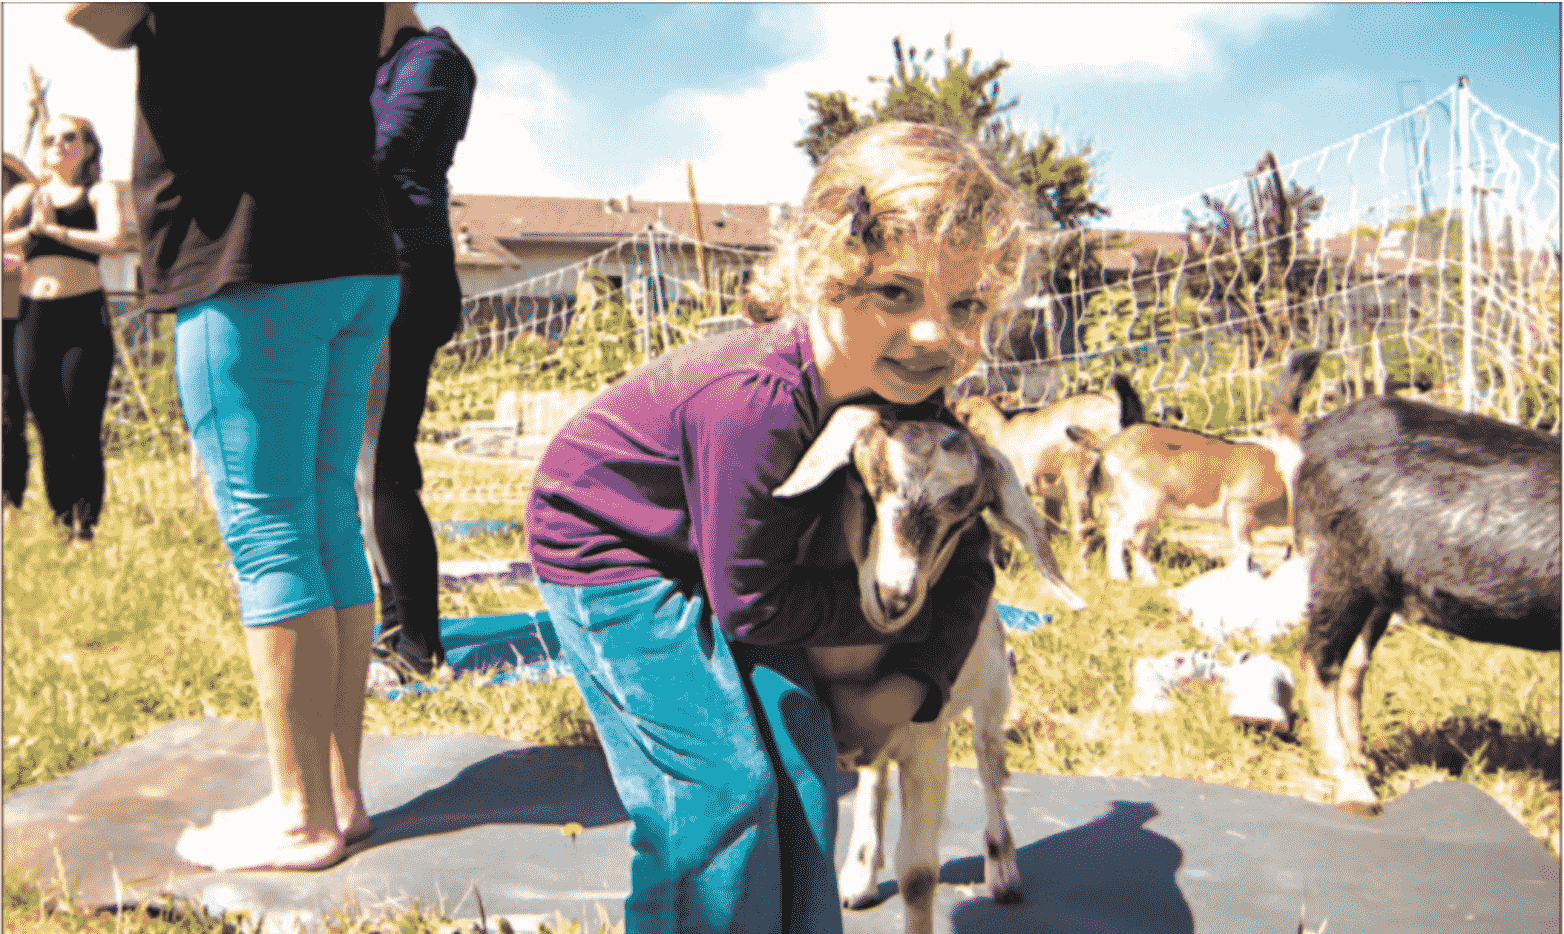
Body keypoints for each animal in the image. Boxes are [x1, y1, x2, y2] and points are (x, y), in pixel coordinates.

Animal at [772, 403, 1088, 932]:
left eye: (965, 517)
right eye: (865, 486)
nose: (894, 597)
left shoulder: (928, 748)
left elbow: (919, 876)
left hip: (993, 694)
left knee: (990, 768)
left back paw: (1003, 871)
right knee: (875, 778)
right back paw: (859, 875)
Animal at [1063, 353, 1320, 578]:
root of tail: (1110, 443)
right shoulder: (1240, 510)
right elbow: (1244, 552)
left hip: (1133, 509)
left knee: (1123, 538)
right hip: (1143, 506)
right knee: (1122, 538)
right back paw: (1137, 580)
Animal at [1288, 389, 1557, 813]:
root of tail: (1314, 432)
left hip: (1379, 590)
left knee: (1354, 665)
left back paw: (1363, 760)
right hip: (1339, 568)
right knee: (1318, 663)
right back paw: (1355, 790)